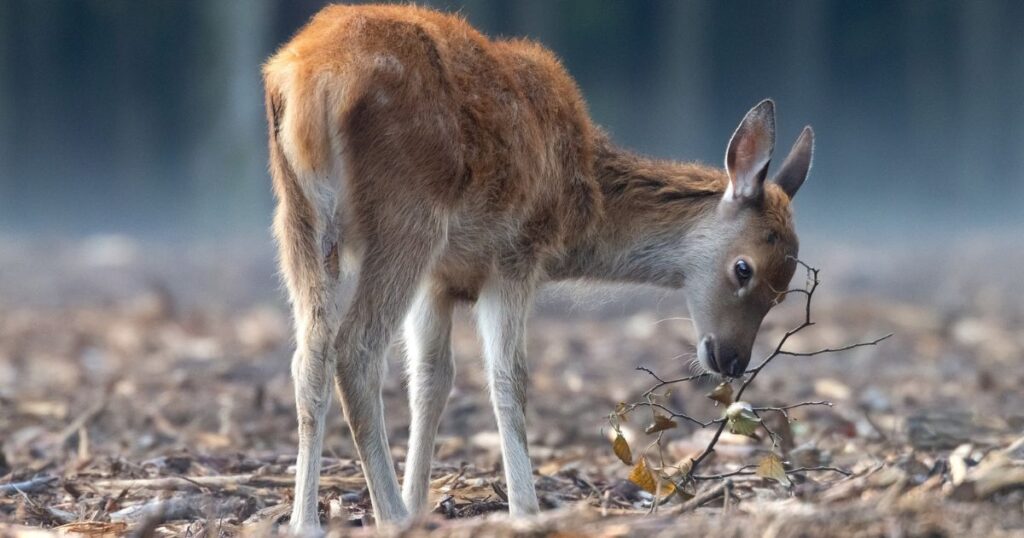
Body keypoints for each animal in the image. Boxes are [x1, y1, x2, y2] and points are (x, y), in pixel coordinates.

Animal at [264, 3, 815, 532]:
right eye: (744, 268)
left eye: (784, 289)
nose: (732, 360)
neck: (581, 206)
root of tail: (310, 79)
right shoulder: (516, 254)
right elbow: (509, 379)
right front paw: (523, 510)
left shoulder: (439, 279)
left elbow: (431, 379)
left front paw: (422, 503)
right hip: (407, 218)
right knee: (357, 349)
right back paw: (389, 517)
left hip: (298, 220)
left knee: (310, 356)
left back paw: (306, 522)